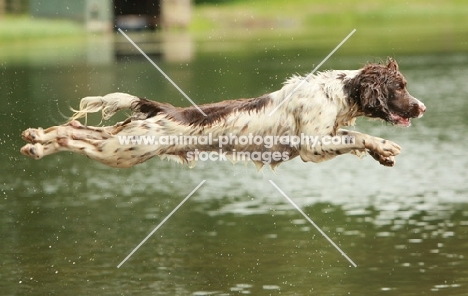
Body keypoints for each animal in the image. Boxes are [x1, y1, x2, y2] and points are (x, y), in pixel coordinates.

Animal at [21, 58, 424, 169]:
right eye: (401, 87)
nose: (421, 107)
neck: (338, 93)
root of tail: (162, 108)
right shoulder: (312, 145)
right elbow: (358, 135)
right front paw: (385, 146)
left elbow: (355, 137)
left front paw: (382, 153)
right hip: (125, 151)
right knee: (74, 135)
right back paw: (37, 141)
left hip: (126, 143)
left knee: (77, 130)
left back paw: (36, 139)